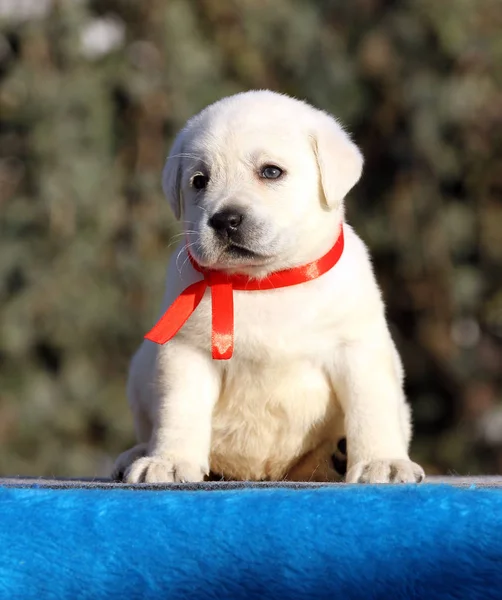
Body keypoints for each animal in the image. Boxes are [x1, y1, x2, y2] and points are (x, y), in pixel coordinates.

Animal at [113, 90, 424, 482]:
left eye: (271, 171)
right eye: (199, 181)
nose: (225, 220)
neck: (265, 282)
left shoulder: (358, 347)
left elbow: (371, 408)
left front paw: (381, 461)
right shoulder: (186, 351)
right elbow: (179, 409)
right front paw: (168, 460)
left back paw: (337, 457)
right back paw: (136, 453)